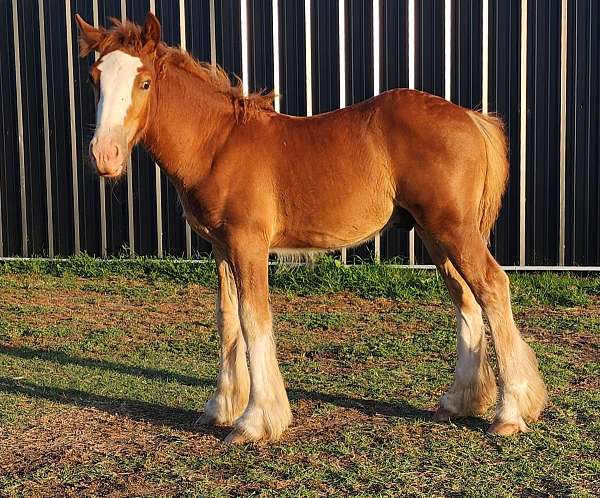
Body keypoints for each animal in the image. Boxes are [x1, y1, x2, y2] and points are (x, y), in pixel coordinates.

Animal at [74, 12, 544, 444]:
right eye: (95, 79)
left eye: (144, 83)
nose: (104, 156)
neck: (218, 144)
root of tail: (471, 117)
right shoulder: (221, 248)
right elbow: (227, 319)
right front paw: (220, 408)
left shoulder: (248, 244)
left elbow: (253, 319)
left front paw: (254, 422)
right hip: (434, 233)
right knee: (465, 299)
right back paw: (459, 401)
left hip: (454, 229)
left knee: (492, 287)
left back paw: (509, 414)